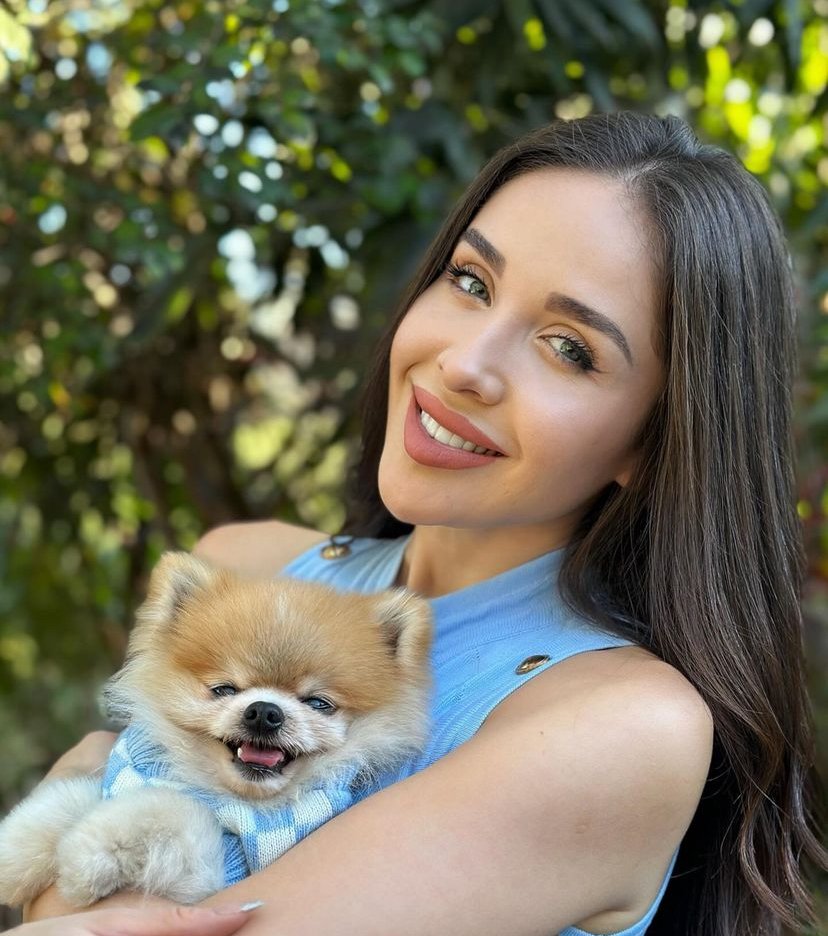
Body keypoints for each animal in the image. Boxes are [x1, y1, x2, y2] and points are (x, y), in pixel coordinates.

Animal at [1, 548, 434, 908]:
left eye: (318, 703)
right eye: (224, 689)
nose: (264, 712)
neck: (224, 792)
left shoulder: (215, 874)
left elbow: (171, 808)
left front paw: (88, 855)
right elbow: (68, 799)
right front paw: (15, 849)